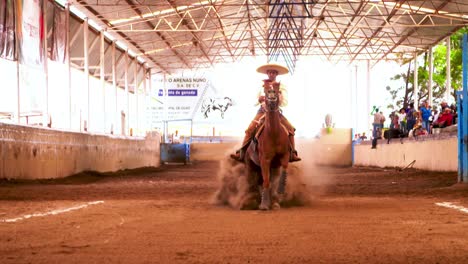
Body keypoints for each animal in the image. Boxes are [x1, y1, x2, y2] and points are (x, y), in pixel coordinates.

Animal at [243, 81, 290, 210]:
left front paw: (280, 190)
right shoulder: (264, 160)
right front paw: (264, 204)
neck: (274, 134)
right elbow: (266, 181)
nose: (272, 96)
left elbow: (283, 170)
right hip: (251, 165)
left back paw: (274, 202)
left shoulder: (284, 155)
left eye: (277, 89)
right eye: (265, 89)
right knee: (255, 181)